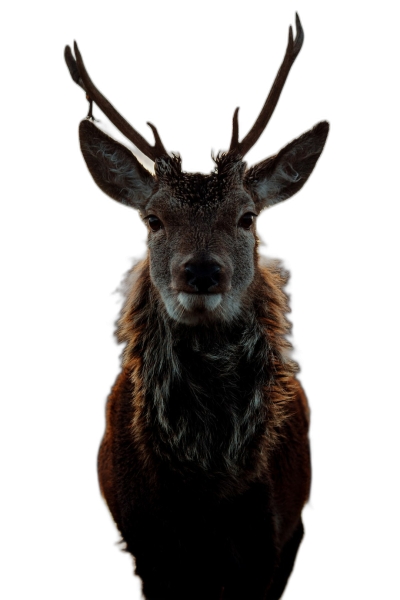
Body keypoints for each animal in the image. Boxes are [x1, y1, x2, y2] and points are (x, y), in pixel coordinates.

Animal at [64, 11, 330, 596]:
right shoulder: (144, 538)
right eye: (153, 220)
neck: (210, 486)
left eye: (247, 217)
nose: (203, 270)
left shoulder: (279, 537)